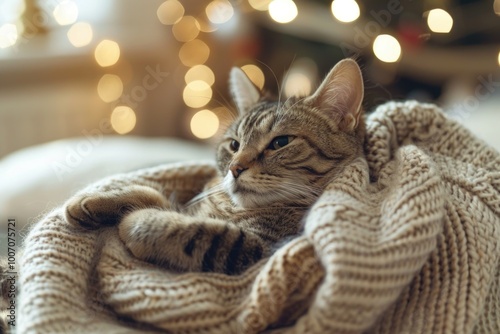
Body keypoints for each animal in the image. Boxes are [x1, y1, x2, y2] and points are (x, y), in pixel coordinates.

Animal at [64, 58, 366, 276]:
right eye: (234, 144)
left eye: (281, 142)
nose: (235, 168)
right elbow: (154, 195)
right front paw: (94, 201)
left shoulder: (258, 249)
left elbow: (183, 227)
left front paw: (134, 219)